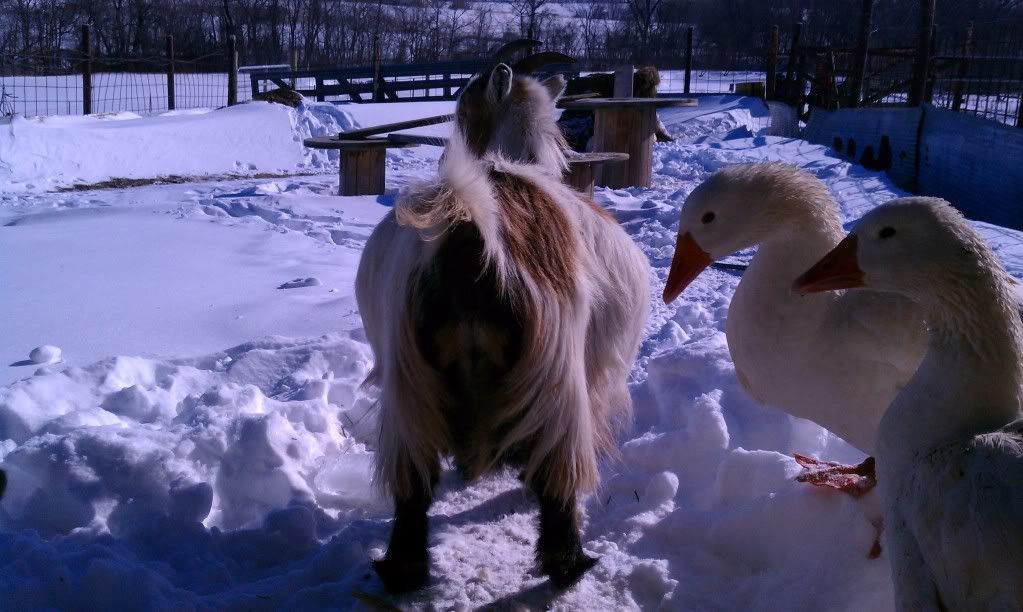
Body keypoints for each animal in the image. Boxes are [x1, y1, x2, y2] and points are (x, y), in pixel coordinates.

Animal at [355, 63, 650, 593]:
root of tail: (474, 231)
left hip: (410, 385)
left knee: (412, 487)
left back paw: (403, 571)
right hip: (557, 378)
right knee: (557, 480)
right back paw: (569, 565)